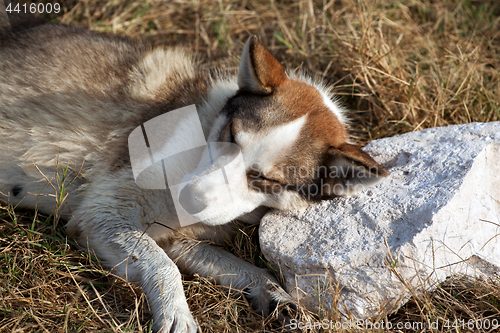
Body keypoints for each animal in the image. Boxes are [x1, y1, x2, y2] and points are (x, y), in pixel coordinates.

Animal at [0, 23, 388, 332]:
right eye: (231, 135)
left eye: (267, 181)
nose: (189, 199)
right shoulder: (101, 213)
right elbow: (162, 265)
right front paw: (176, 314)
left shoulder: (178, 238)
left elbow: (245, 268)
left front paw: (277, 296)